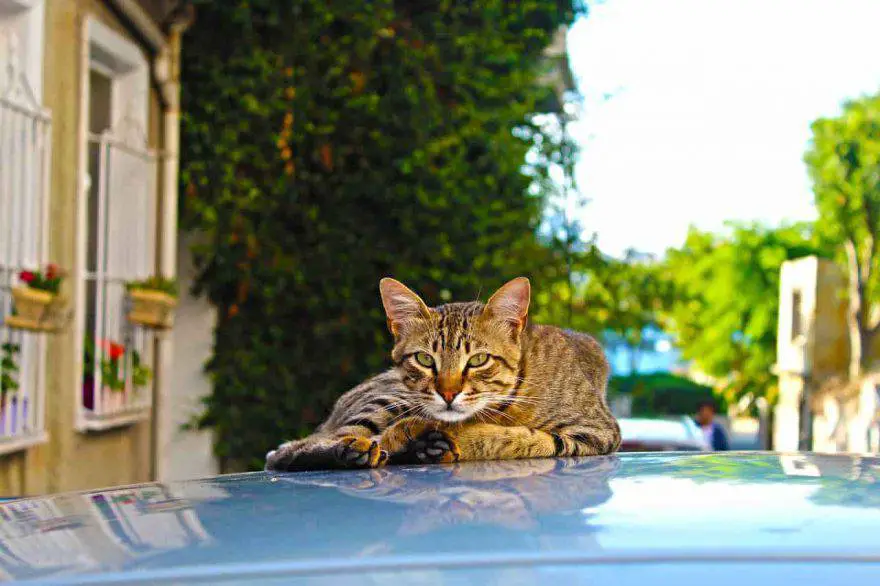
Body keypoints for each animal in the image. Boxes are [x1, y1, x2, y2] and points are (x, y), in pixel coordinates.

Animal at [266, 274, 620, 470]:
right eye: (425, 359)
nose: (448, 393)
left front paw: (424, 435)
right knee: (288, 453)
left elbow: (516, 437)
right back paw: (355, 450)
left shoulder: (596, 431)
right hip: (386, 398)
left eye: (478, 360)